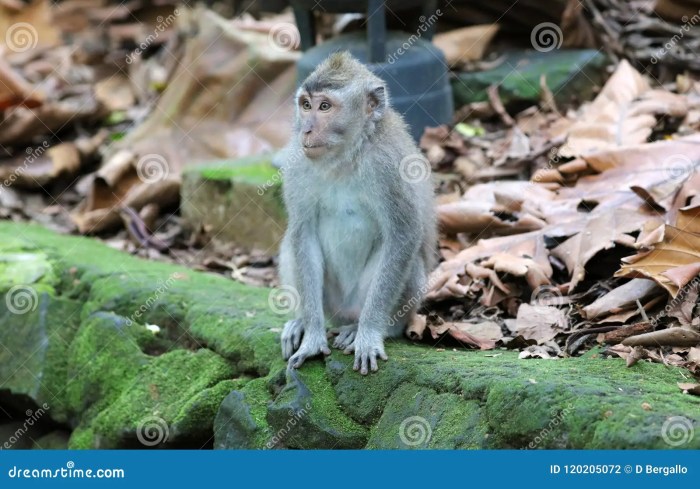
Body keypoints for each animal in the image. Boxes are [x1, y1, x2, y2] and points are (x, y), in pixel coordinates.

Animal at [276, 51, 434, 374]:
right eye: (306, 105)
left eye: (325, 107)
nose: (306, 129)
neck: (345, 155)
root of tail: (345, 313)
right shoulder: (297, 162)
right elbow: (303, 233)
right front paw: (312, 335)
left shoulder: (389, 166)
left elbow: (404, 234)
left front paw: (370, 334)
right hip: (332, 303)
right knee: (290, 243)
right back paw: (301, 322)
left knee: (409, 260)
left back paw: (366, 329)